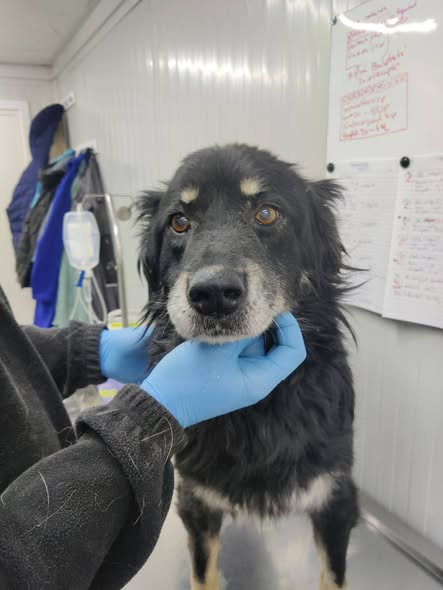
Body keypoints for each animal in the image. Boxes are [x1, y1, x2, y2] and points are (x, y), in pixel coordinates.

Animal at [138, 144, 359, 590]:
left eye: (267, 213)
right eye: (179, 222)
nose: (213, 294)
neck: (260, 410)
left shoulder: (335, 497)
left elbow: (334, 575)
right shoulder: (197, 500)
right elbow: (202, 573)